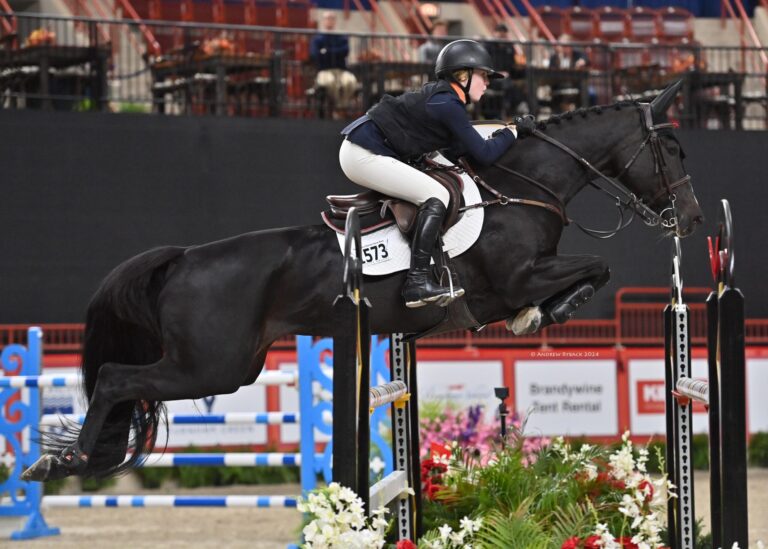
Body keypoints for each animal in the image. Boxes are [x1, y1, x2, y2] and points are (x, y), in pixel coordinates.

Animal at [25, 81, 704, 480]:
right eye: (671, 151)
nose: (694, 219)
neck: (521, 188)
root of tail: (186, 258)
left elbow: (595, 269)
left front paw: (541, 315)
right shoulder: (516, 276)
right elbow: (593, 268)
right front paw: (541, 314)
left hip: (228, 365)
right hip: (210, 367)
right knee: (117, 378)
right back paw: (66, 462)